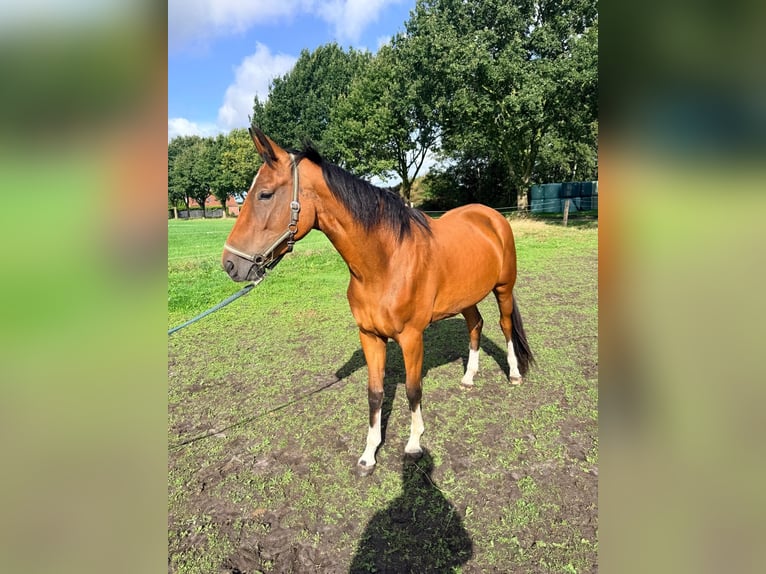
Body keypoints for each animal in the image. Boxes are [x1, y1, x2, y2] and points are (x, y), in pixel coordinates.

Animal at [222, 127, 534, 475]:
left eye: (264, 194)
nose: (231, 264)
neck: (385, 262)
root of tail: (491, 216)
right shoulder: (370, 336)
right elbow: (374, 394)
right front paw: (369, 455)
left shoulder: (412, 338)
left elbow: (413, 389)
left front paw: (413, 444)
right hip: (466, 297)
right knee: (476, 324)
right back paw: (468, 378)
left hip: (503, 288)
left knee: (505, 326)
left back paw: (515, 374)